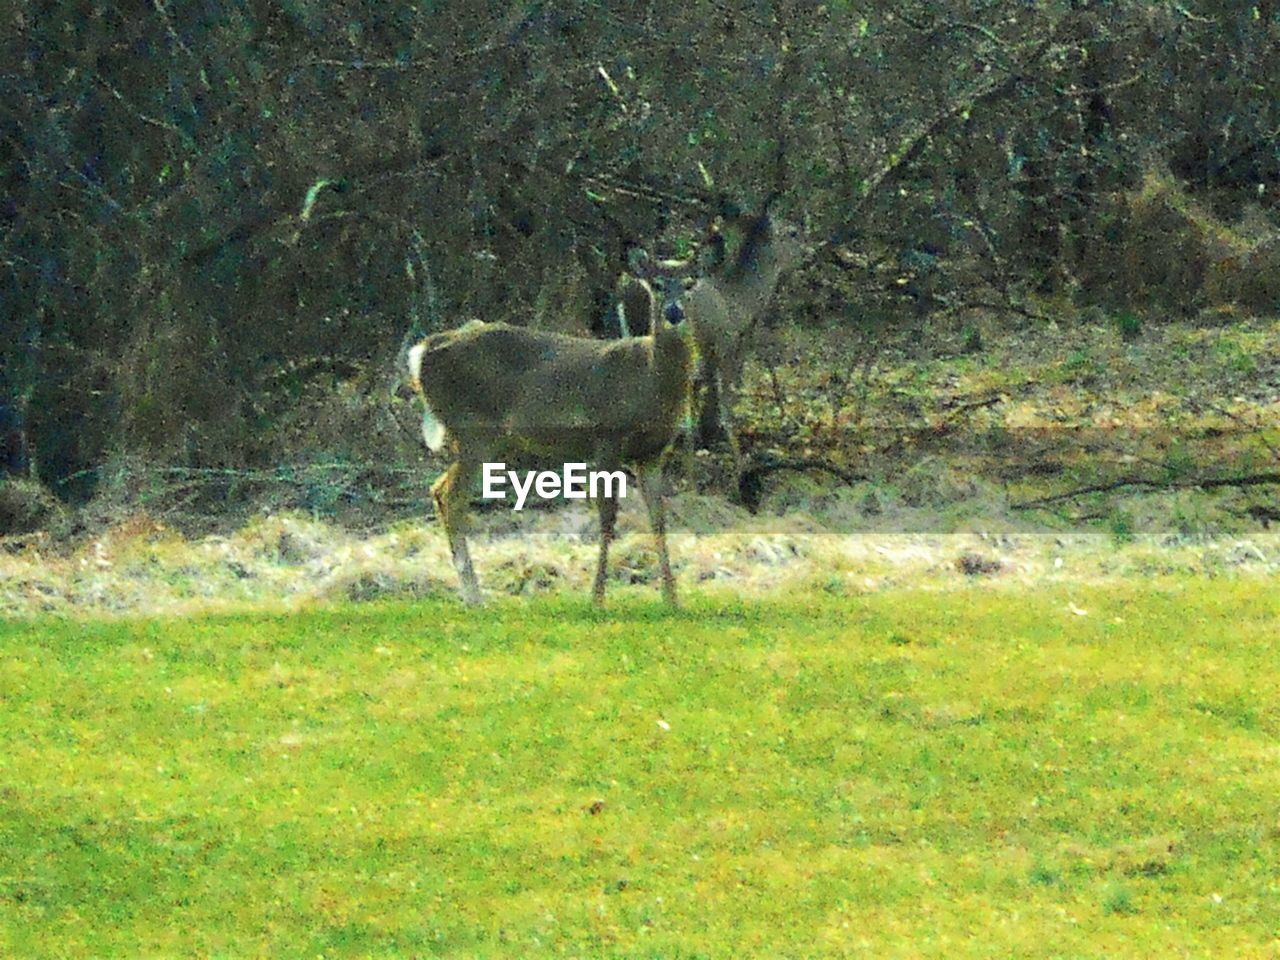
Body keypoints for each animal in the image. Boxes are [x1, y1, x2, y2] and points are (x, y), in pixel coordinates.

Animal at [407, 276, 691, 609]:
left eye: (690, 285)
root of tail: (422, 351)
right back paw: (475, 598)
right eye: (656, 286)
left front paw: (672, 600)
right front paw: (597, 599)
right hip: (473, 432)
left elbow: (658, 517)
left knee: (440, 491)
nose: (675, 313)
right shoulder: (605, 441)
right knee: (452, 499)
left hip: (486, 441)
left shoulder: (651, 452)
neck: (648, 380)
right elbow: (608, 516)